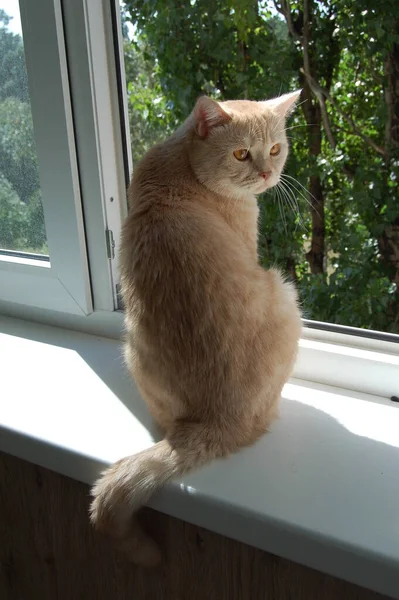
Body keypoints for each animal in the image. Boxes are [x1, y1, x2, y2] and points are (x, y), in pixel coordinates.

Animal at [90, 91, 304, 564]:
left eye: (275, 149)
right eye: (241, 154)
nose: (266, 174)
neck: (181, 164)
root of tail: (219, 420)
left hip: (132, 349)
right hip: (286, 295)